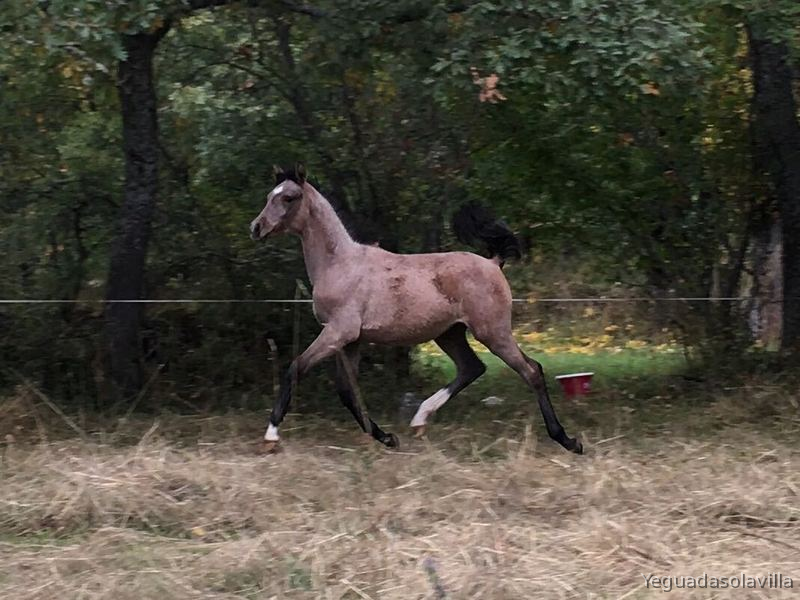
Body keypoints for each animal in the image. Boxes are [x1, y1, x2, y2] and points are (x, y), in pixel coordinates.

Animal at [249, 164, 582, 454]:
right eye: (269, 195)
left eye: (289, 197)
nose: (256, 228)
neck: (340, 263)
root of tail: (493, 262)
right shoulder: (350, 341)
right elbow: (348, 392)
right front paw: (387, 438)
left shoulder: (338, 332)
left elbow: (295, 369)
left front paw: (270, 437)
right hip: (450, 333)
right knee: (472, 367)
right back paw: (420, 419)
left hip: (493, 332)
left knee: (532, 371)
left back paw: (568, 440)